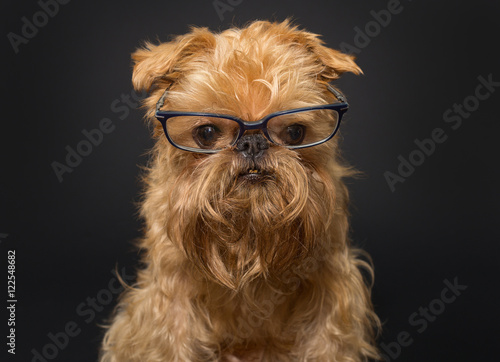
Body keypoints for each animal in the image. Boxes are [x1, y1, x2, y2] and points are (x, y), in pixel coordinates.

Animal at [102, 20, 382, 362]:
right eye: (207, 133)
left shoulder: (331, 291)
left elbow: (327, 344)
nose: (252, 142)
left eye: (295, 132)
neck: (248, 240)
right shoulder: (171, 299)